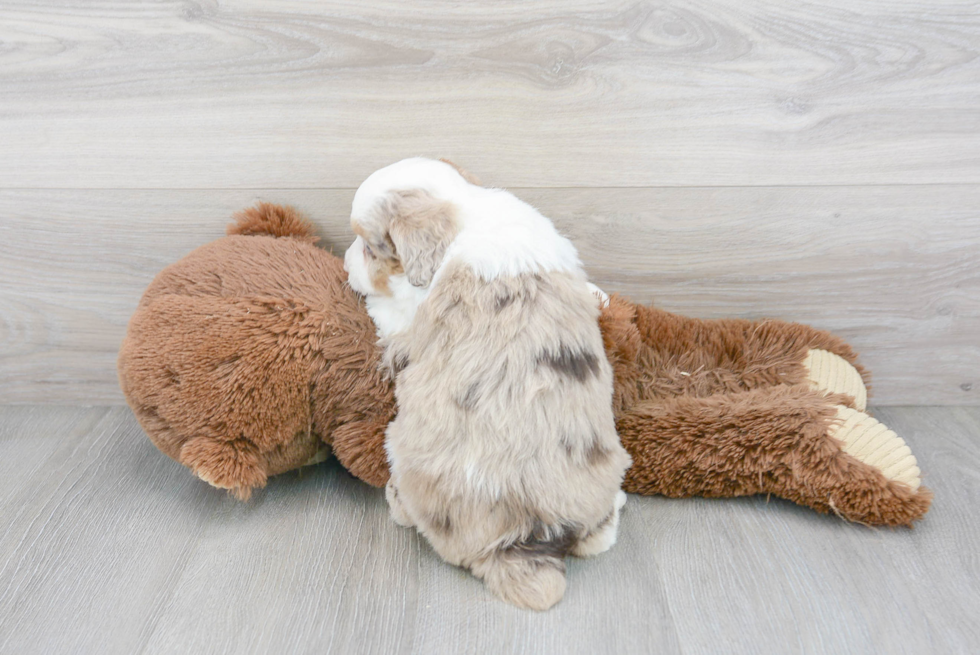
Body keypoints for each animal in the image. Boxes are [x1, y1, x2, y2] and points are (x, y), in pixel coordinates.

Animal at [344, 158, 632, 608]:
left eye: (372, 248)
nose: (343, 261)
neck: (467, 215)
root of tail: (525, 537)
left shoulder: (405, 321)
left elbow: (386, 312)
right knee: (598, 539)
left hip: (399, 449)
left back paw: (397, 502)